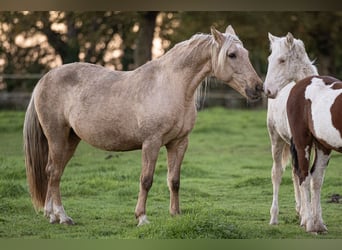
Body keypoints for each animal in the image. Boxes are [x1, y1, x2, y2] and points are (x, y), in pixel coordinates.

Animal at [24, 25, 264, 227]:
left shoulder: (179, 143)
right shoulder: (152, 142)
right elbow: (146, 180)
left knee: (52, 173)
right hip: (57, 136)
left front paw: (175, 215)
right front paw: (142, 218)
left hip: (70, 139)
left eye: (246, 54)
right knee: (54, 172)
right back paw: (62, 217)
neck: (171, 87)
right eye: (232, 55)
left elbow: (174, 180)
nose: (258, 88)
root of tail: (44, 79)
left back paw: (50, 214)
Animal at [264, 33, 318, 229]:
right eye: (269, 59)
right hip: (276, 139)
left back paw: (299, 210)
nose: (267, 90)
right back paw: (274, 216)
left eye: (282, 60)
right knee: (277, 173)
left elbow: (310, 175)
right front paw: (307, 218)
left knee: (295, 174)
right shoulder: (297, 142)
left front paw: (308, 216)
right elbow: (301, 174)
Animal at [288, 75, 340, 232]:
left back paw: (319, 224)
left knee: (316, 178)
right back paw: (310, 224)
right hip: (302, 143)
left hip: (323, 145)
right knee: (304, 176)